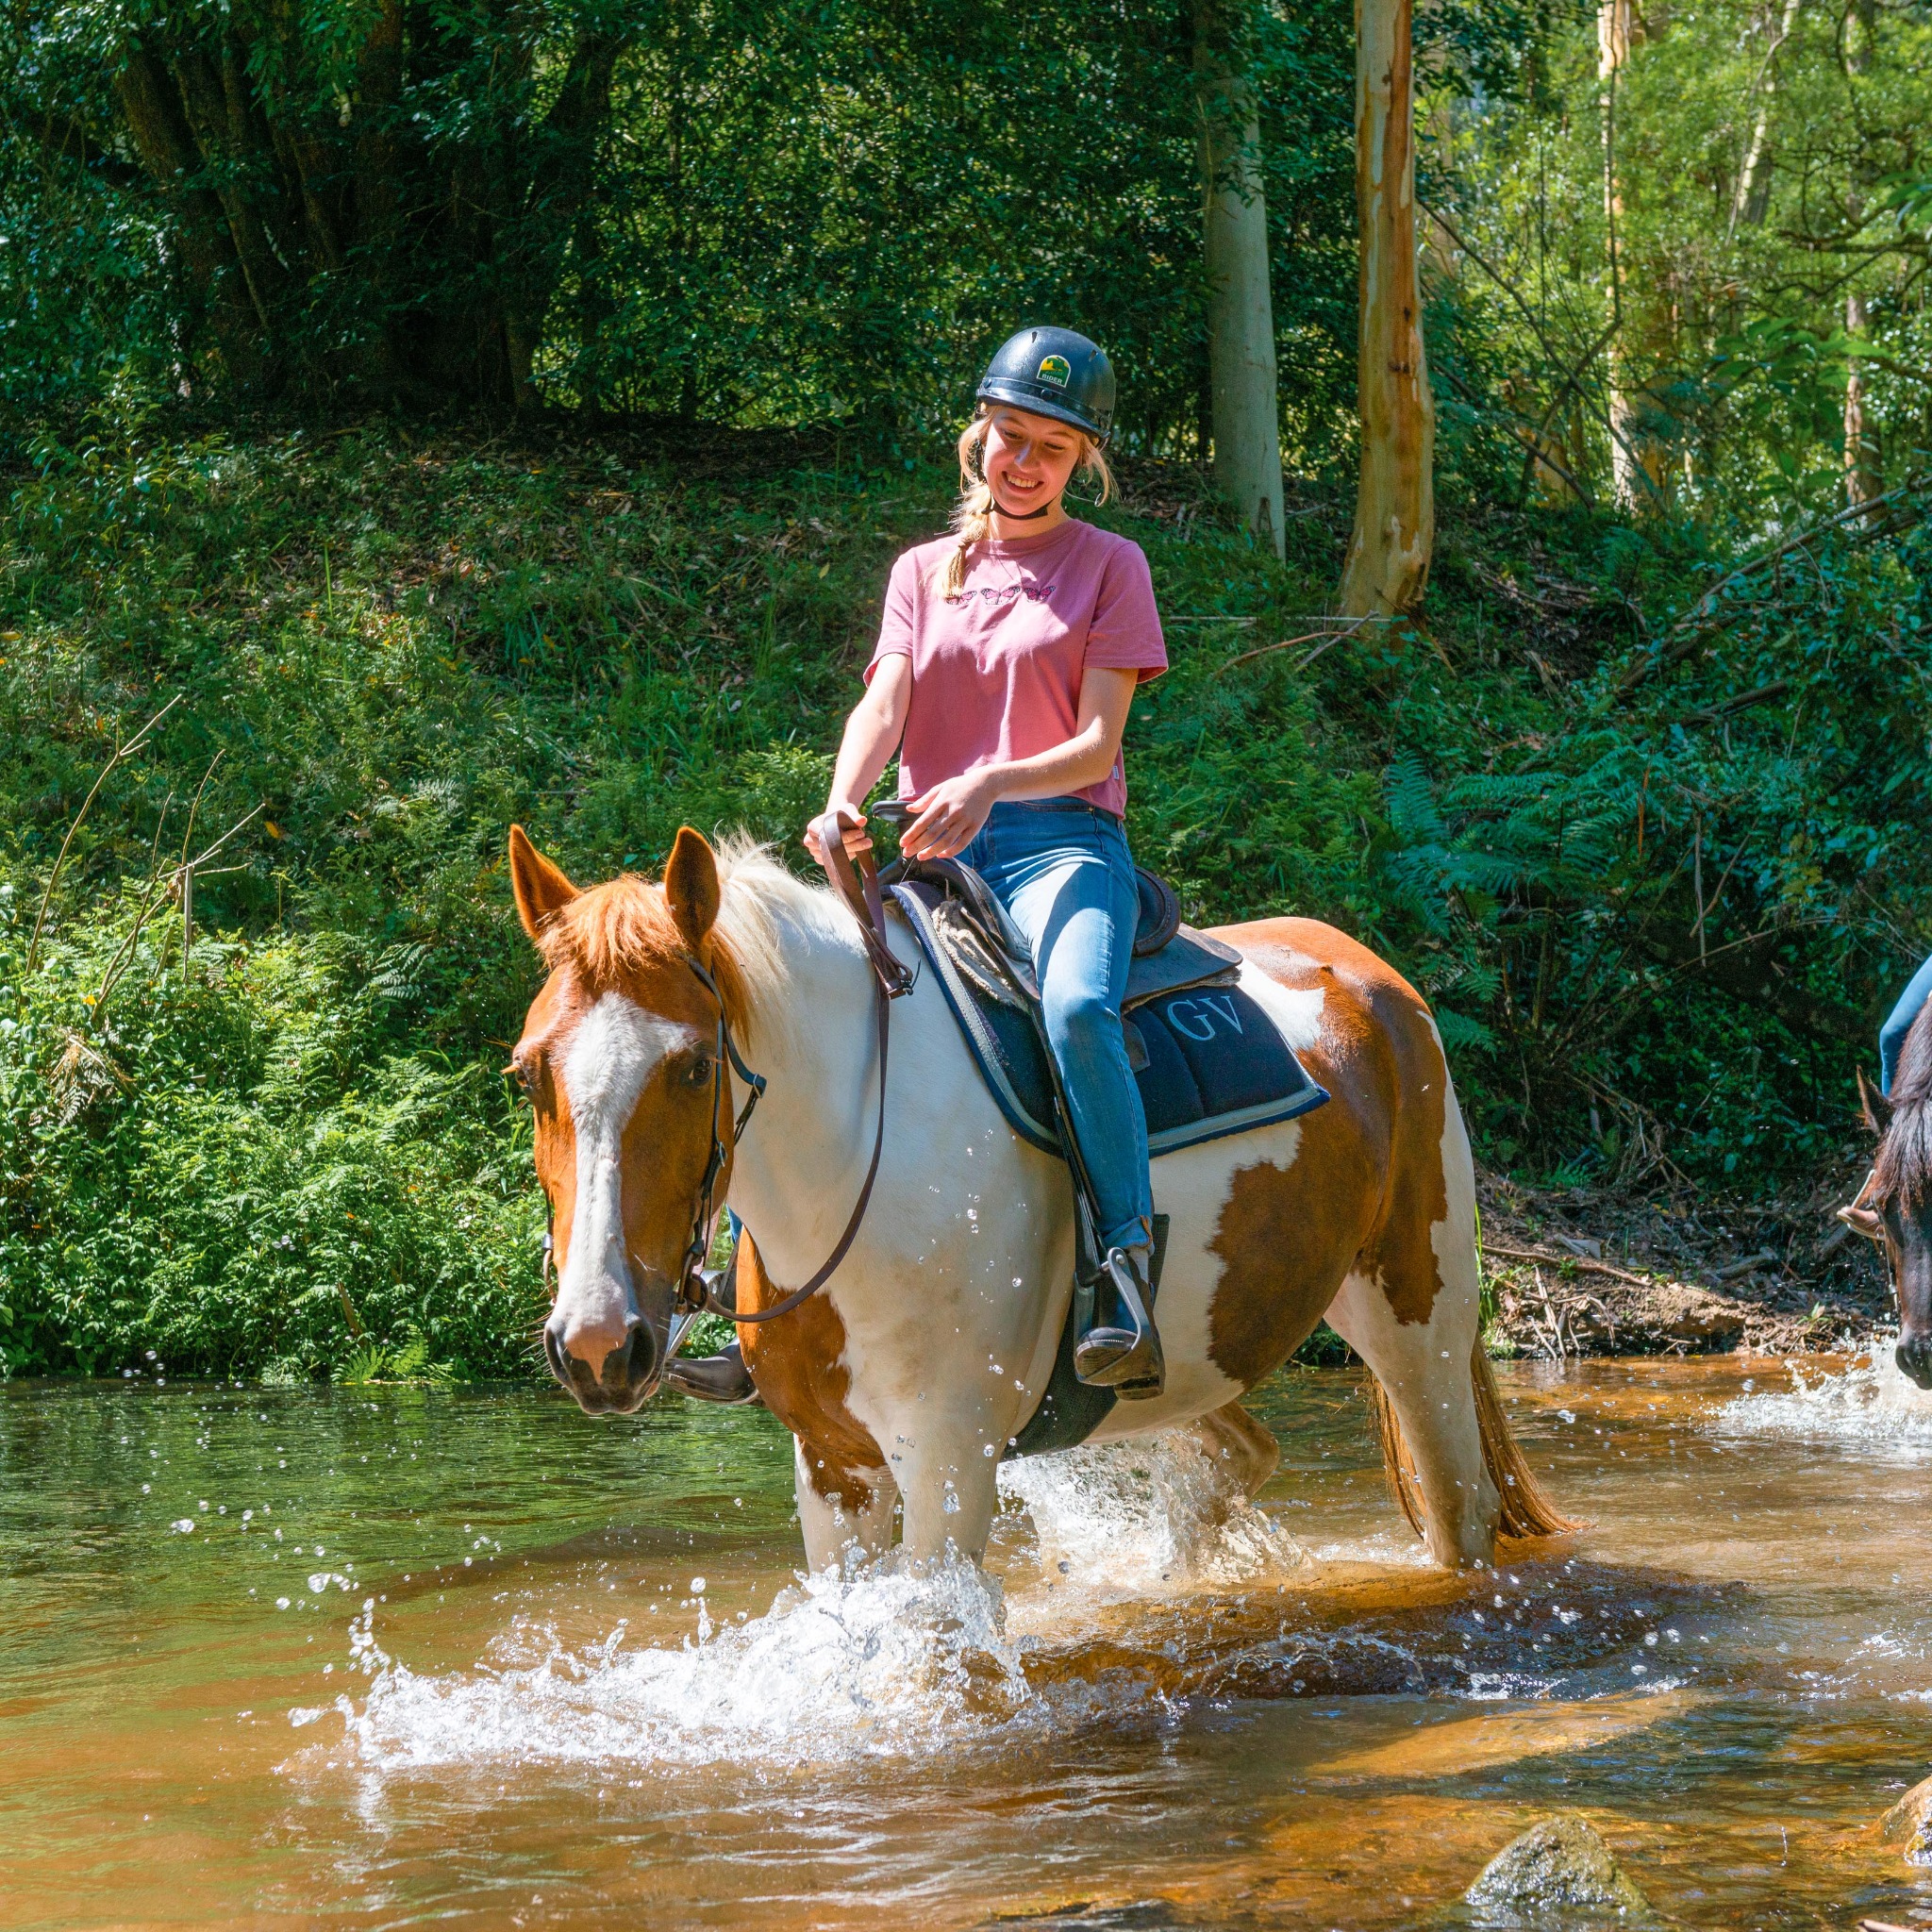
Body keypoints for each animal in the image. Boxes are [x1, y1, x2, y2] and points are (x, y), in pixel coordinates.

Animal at [505, 822, 1571, 1572]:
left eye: (691, 1067)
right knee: (1235, 1458)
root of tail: (1377, 981)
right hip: (1192, 1364)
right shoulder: (835, 1467)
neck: (855, 1163)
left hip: (1418, 1319)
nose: (597, 1343)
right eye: (528, 1073)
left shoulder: (946, 1457)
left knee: (1458, 1512)